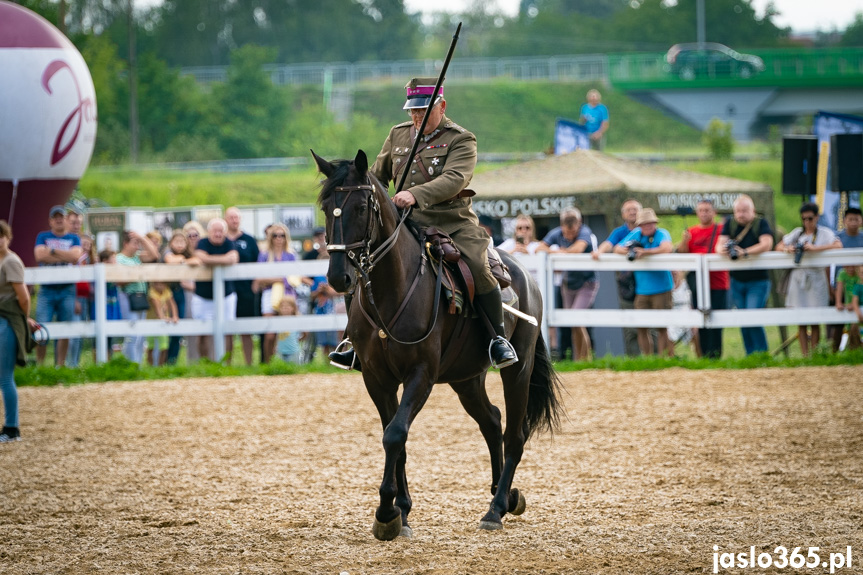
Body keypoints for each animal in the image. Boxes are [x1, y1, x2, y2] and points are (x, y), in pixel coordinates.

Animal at [314, 148, 564, 540]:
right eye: (326, 207)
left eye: (361, 207)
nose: (339, 277)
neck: (393, 288)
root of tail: (525, 274)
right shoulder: (376, 378)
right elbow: (393, 436)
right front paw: (401, 512)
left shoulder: (422, 374)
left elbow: (395, 434)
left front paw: (386, 513)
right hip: (466, 378)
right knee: (492, 421)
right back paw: (503, 495)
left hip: (518, 370)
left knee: (514, 434)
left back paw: (496, 509)